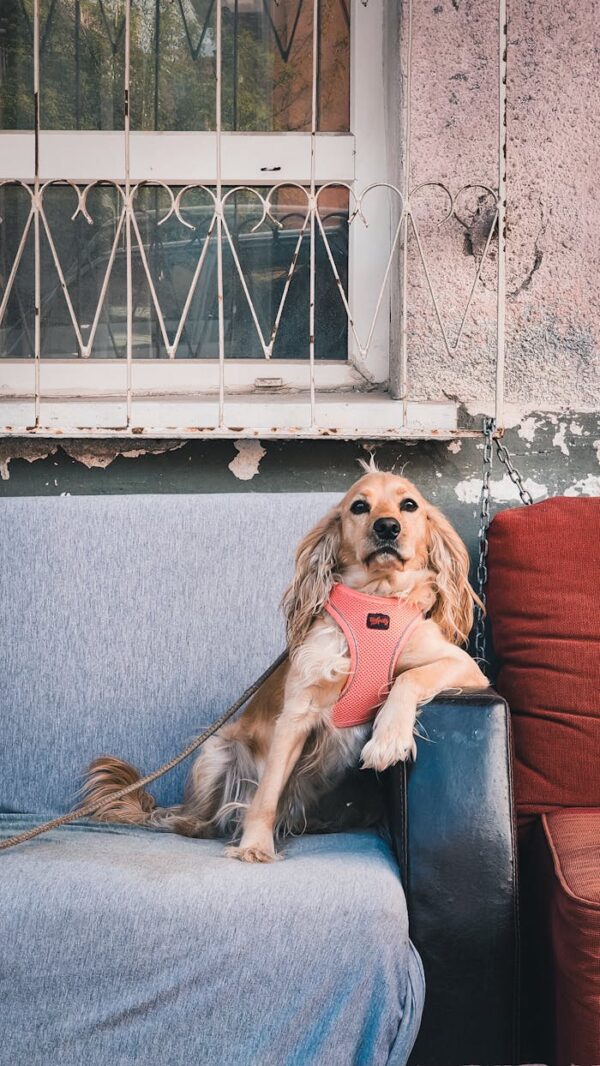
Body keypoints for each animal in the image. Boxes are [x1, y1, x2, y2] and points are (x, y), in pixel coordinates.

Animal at [83, 462, 488, 861]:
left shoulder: (463, 665)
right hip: (216, 752)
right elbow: (268, 793)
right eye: (360, 506)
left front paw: (388, 739)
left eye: (409, 505)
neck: (375, 603)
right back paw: (198, 823)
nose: (387, 526)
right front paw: (254, 846)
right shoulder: (297, 714)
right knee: (201, 817)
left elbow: (409, 679)